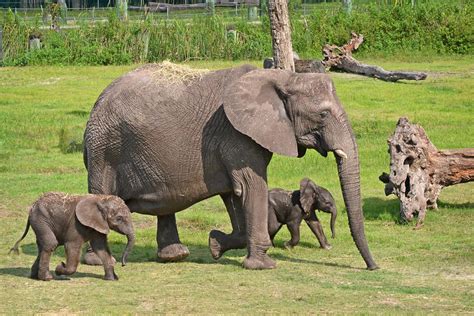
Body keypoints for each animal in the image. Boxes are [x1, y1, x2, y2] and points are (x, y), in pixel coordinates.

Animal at [82, 63, 378, 270]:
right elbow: (251, 186)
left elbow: (235, 194)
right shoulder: (236, 135)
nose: (373, 267)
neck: (283, 78)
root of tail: (97, 101)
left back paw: (176, 256)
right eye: (323, 114)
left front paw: (215, 244)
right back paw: (99, 261)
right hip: (104, 150)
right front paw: (263, 265)